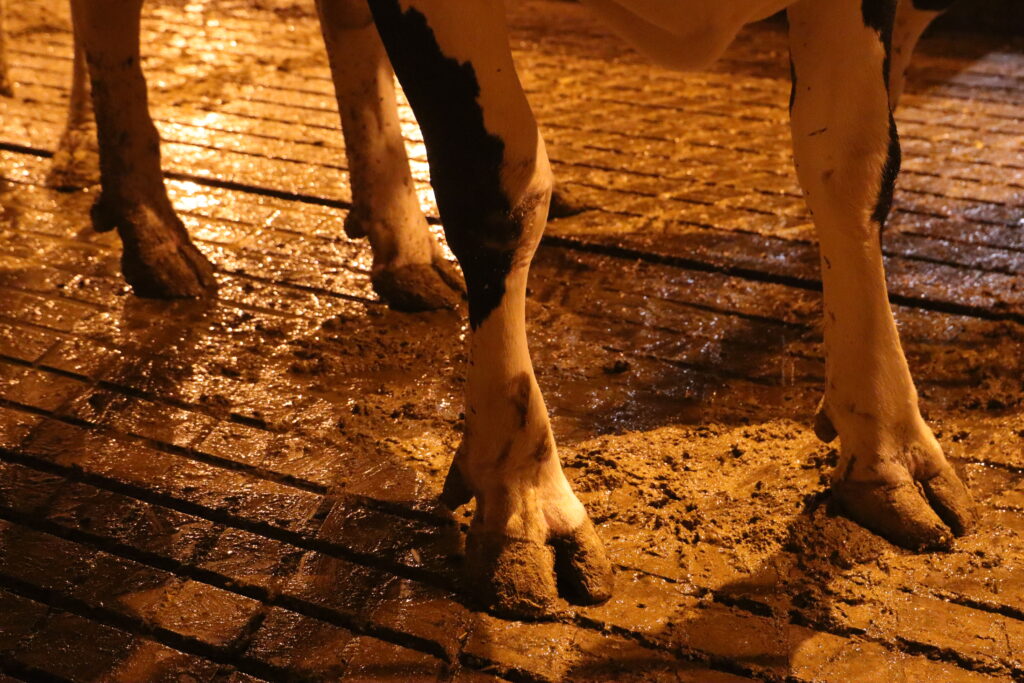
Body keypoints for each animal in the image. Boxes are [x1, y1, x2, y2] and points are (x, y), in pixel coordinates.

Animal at [2, 0, 974, 618]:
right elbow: (498, 186)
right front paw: (523, 499)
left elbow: (849, 159)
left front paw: (886, 448)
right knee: (109, 23)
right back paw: (142, 216)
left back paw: (398, 237)